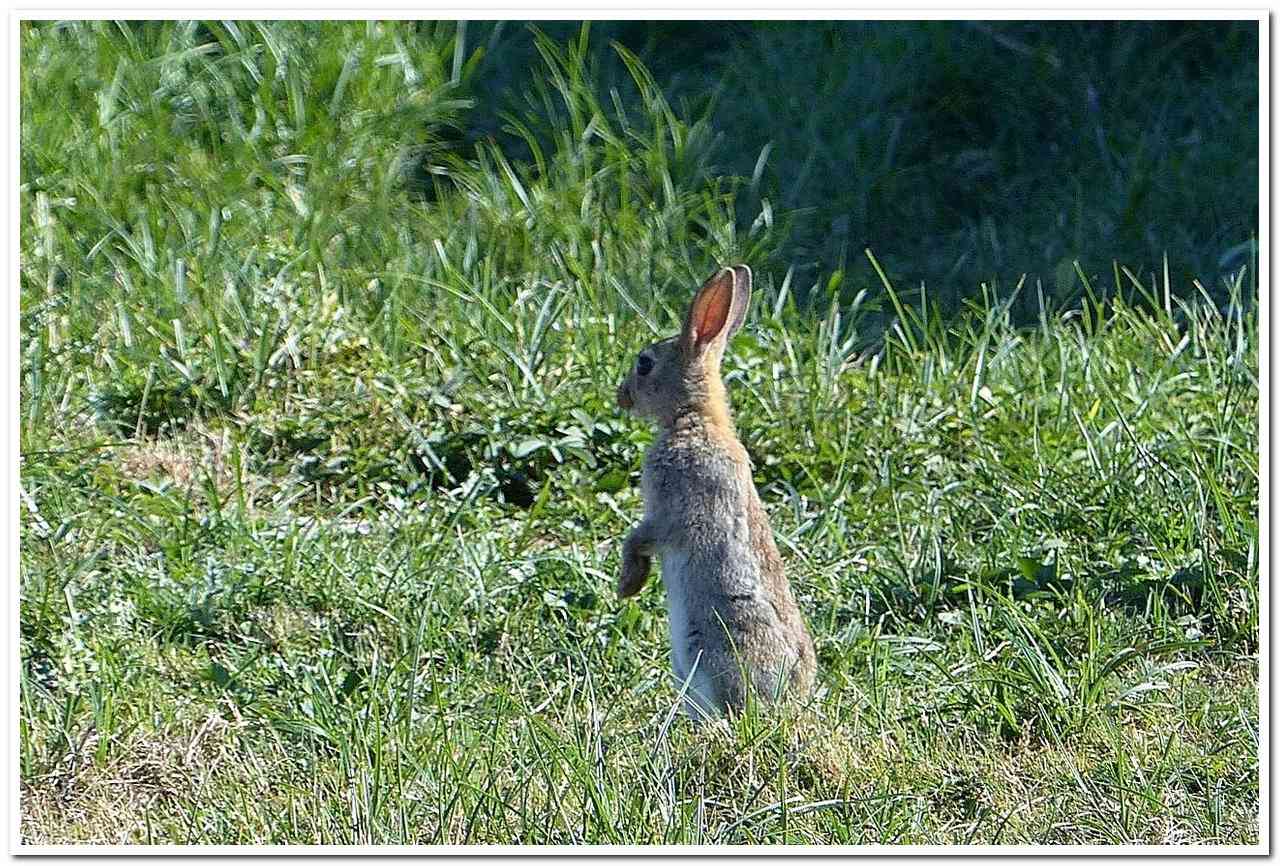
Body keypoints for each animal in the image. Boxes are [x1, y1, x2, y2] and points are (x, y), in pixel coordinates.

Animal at [614, 263, 814, 716]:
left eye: (644, 364)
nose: (622, 397)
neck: (695, 418)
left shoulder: (672, 511)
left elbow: (638, 539)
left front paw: (628, 584)